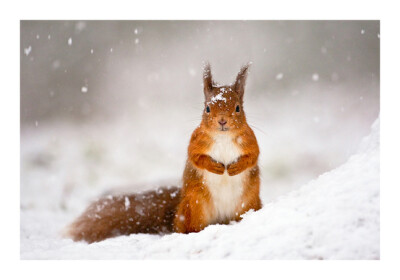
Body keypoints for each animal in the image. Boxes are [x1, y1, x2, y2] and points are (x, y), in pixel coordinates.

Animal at [65, 63, 262, 243]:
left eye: (237, 108)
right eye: (207, 108)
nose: (222, 121)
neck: (223, 137)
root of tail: (223, 219)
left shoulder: (250, 141)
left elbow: (252, 156)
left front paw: (235, 168)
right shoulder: (196, 142)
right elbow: (196, 158)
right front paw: (217, 168)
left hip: (247, 204)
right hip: (194, 207)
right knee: (187, 227)